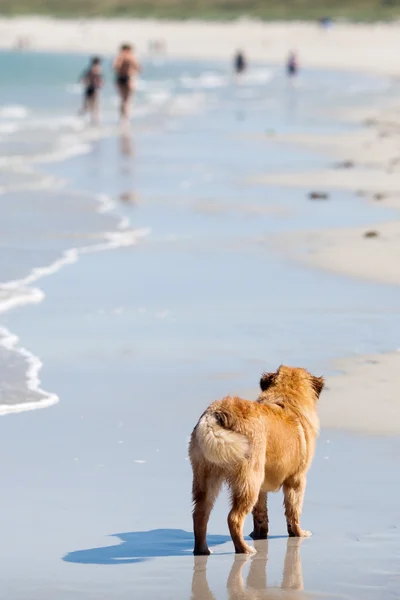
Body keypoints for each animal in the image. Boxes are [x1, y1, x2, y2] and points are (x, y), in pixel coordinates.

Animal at [189, 366, 324, 556]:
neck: (286, 402)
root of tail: (217, 413)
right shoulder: (297, 480)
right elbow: (293, 511)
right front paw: (298, 533)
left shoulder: (263, 487)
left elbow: (260, 513)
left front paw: (259, 534)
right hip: (249, 480)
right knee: (234, 518)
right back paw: (244, 549)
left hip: (207, 478)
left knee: (200, 515)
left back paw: (202, 550)